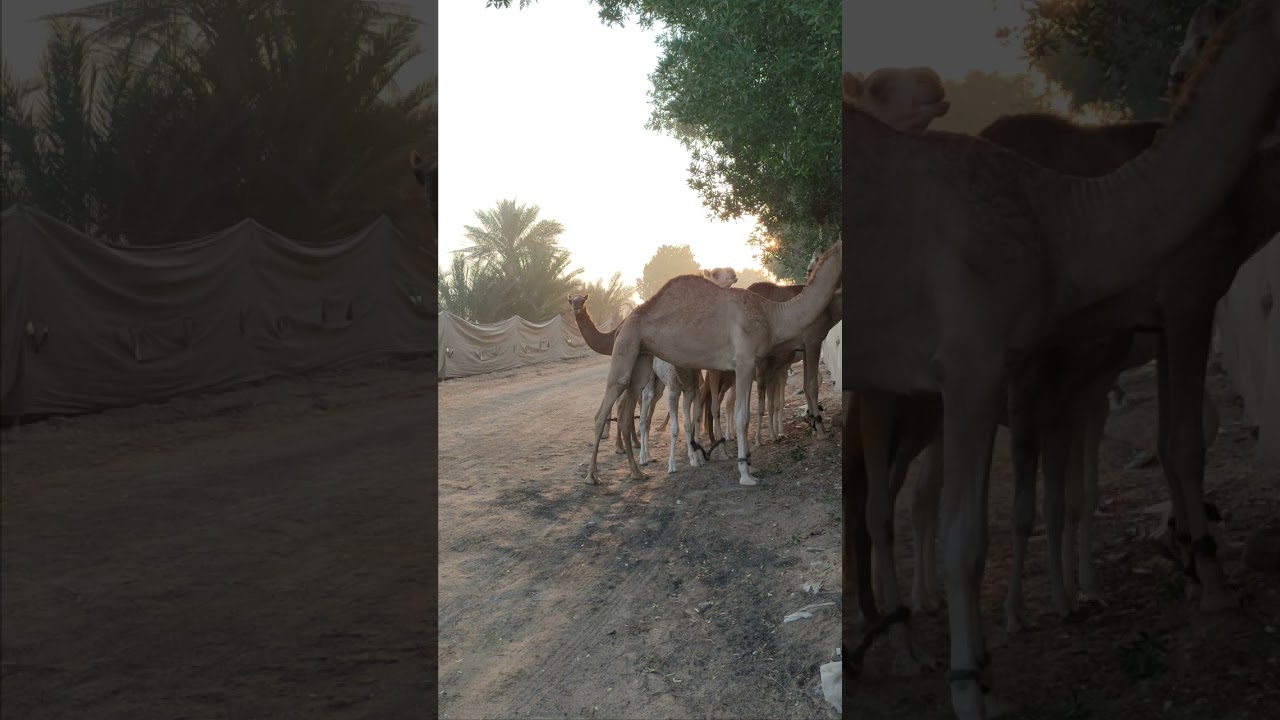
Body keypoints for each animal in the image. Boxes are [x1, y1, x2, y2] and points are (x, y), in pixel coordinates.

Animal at [586, 242, 843, 486]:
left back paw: (637, 472)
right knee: (605, 407)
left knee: (627, 411)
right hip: (626, 345)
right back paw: (593, 476)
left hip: (642, 356)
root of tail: (623, 323)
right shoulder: (746, 361)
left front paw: (748, 465)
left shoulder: (752, 365)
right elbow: (742, 417)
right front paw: (745, 474)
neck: (772, 314)